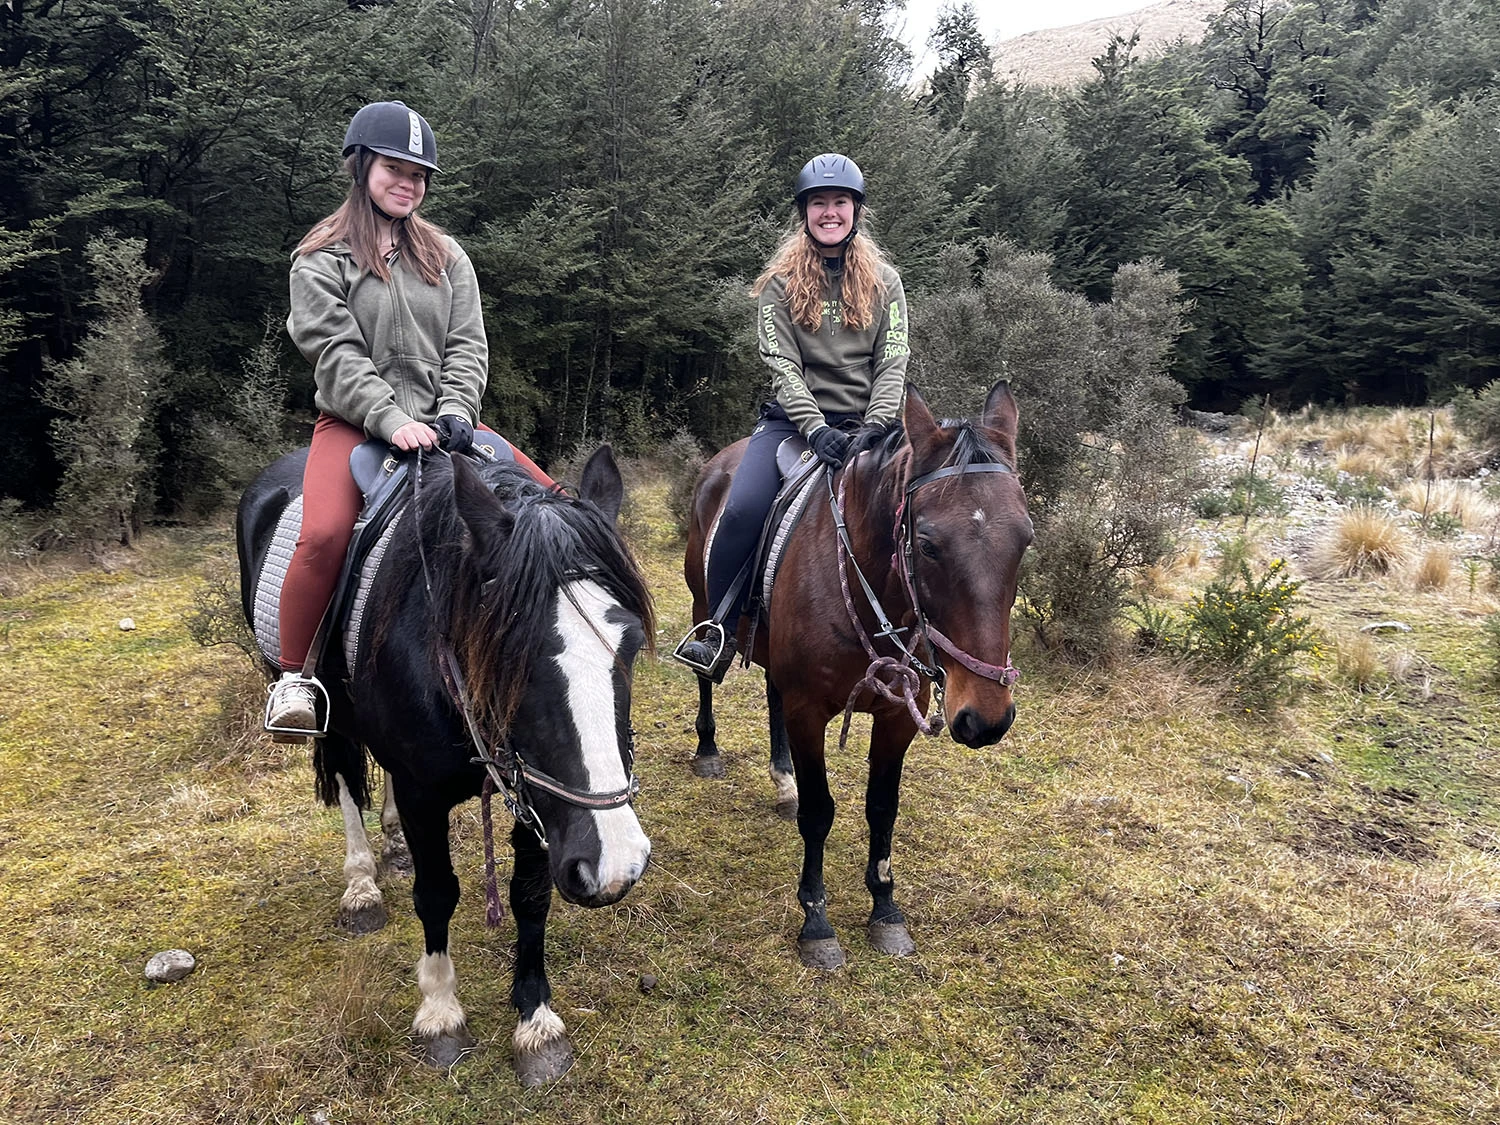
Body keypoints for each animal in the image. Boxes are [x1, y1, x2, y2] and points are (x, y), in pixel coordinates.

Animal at [237, 447, 654, 1086]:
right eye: (510, 653)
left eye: (629, 644)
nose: (615, 866)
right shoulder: (426, 795)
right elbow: (436, 894)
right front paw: (440, 1013)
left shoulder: (534, 793)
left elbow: (529, 894)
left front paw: (535, 1022)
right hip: (330, 711)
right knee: (346, 777)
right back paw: (362, 884)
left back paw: (392, 846)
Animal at [687, 379, 1032, 972]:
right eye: (927, 544)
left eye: (1025, 540)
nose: (986, 718)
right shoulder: (808, 711)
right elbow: (820, 812)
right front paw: (816, 921)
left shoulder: (897, 717)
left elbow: (882, 808)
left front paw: (886, 910)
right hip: (703, 608)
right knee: (709, 678)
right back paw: (709, 750)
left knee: (772, 696)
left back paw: (783, 781)